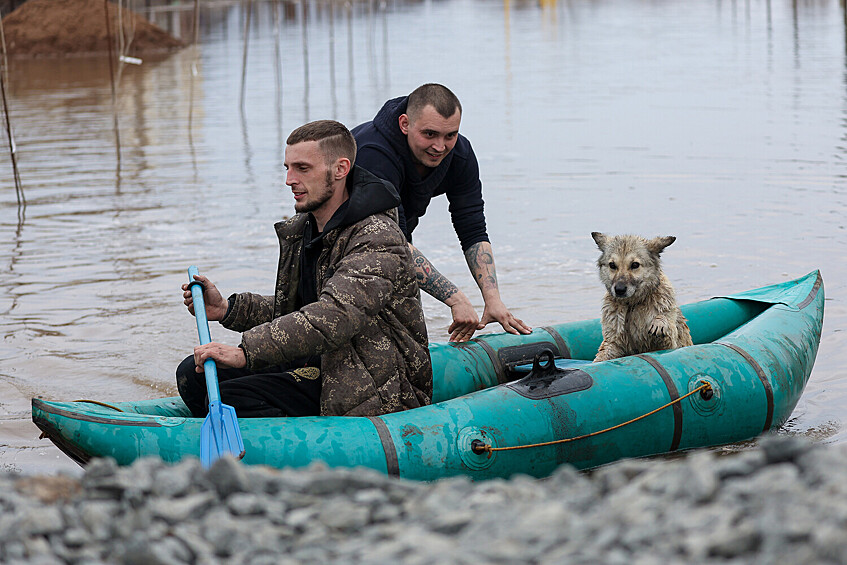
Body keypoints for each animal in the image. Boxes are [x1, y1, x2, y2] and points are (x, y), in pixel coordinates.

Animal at [592, 232, 692, 362]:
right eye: (612, 265)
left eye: (635, 265)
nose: (619, 290)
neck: (632, 304)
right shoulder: (612, 343)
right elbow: (603, 354)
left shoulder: (669, 344)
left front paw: (660, 322)